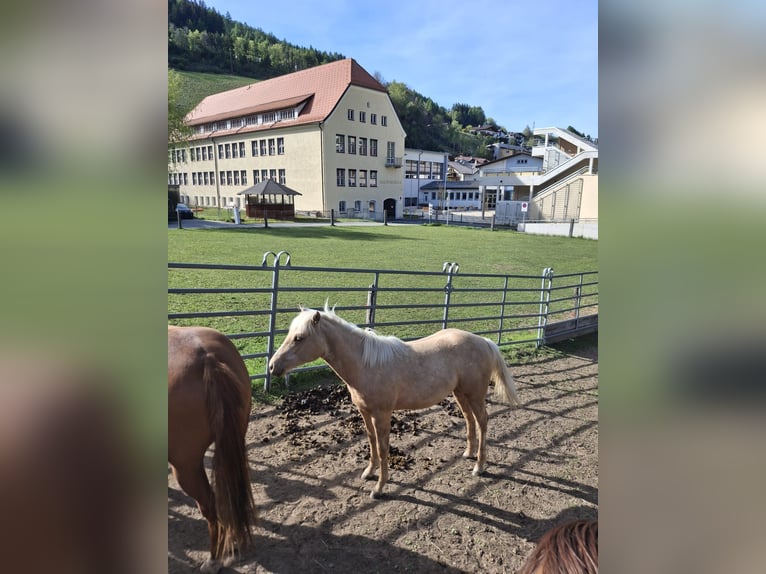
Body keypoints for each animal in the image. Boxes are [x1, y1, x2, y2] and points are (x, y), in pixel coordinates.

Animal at [268, 305, 519, 499]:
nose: (272, 366)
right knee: (469, 419)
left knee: (483, 421)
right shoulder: (365, 412)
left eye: (299, 338)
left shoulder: (382, 414)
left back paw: (479, 467)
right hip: (460, 393)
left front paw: (379, 488)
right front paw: (369, 472)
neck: (365, 364)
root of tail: (484, 341)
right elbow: (371, 442)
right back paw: (468, 453)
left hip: (475, 394)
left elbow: (382, 447)